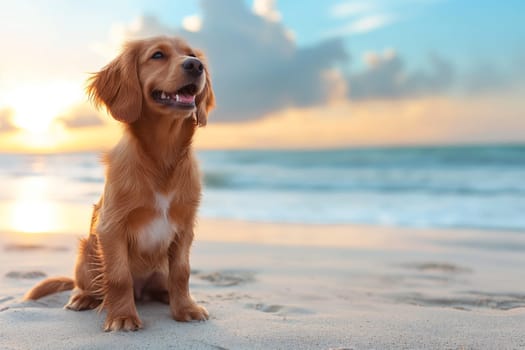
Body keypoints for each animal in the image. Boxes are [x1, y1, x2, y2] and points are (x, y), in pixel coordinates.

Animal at [23, 35, 216, 330]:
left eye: (192, 55)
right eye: (157, 55)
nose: (195, 66)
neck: (162, 157)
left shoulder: (184, 227)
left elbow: (182, 272)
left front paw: (185, 308)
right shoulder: (112, 226)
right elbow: (118, 276)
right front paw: (123, 316)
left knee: (164, 284)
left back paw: (165, 296)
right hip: (87, 254)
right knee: (89, 286)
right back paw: (84, 298)